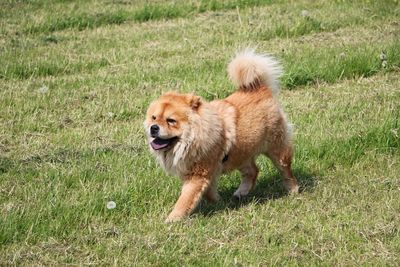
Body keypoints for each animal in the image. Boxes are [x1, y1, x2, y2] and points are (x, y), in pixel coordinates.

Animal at [143, 49, 296, 223]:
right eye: (154, 118)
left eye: (171, 121)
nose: (153, 128)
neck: (193, 137)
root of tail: (259, 88)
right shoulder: (206, 172)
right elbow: (208, 192)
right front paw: (218, 202)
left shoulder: (198, 174)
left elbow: (185, 199)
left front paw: (172, 219)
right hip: (240, 153)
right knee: (253, 171)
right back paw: (241, 192)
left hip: (276, 148)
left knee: (285, 169)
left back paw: (293, 190)